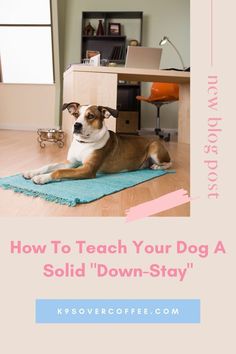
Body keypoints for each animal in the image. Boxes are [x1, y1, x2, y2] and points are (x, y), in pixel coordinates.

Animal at [23, 101, 171, 184]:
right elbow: (49, 165)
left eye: (90, 116)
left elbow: (60, 171)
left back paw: (157, 166)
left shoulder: (88, 169)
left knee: (169, 163)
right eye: (76, 115)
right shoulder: (71, 163)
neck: (84, 143)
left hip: (155, 148)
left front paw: (41, 178)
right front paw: (32, 172)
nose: (76, 125)